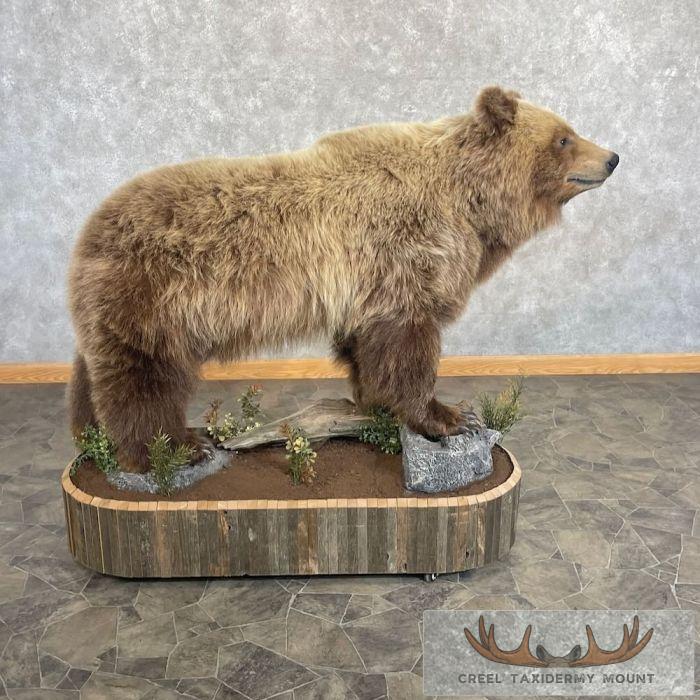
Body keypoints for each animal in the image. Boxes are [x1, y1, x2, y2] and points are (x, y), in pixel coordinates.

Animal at [68, 86, 618, 473]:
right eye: (564, 136)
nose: (612, 157)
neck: (470, 204)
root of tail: (88, 231)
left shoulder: (368, 285)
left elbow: (369, 347)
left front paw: (374, 404)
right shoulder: (405, 255)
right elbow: (407, 342)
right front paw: (448, 416)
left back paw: (91, 436)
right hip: (157, 296)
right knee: (144, 376)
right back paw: (175, 447)